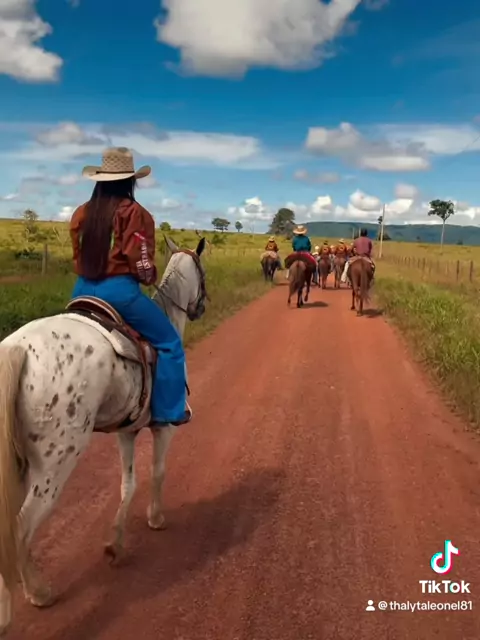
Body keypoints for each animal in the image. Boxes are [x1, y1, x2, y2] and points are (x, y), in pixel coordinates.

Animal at [0, 236, 207, 636]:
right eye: (202, 274)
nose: (200, 307)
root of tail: (17, 348)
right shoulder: (164, 428)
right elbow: (157, 473)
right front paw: (156, 518)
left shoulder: (126, 432)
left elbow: (128, 484)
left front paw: (116, 543)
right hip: (55, 464)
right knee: (19, 527)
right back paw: (38, 593)